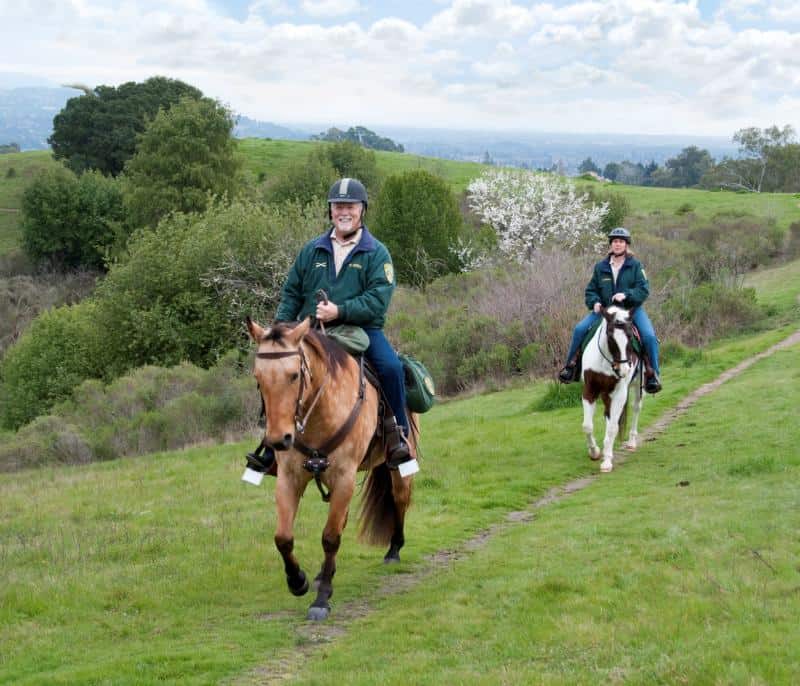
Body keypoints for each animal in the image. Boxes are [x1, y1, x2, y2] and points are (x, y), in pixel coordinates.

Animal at [247, 318, 416, 624]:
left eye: (294, 375)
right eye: (258, 378)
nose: (278, 440)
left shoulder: (344, 478)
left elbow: (330, 538)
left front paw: (322, 599)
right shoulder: (289, 479)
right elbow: (283, 537)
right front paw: (298, 581)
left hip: (397, 465)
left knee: (400, 498)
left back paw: (394, 549)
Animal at [580, 306, 644, 472]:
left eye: (630, 335)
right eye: (610, 336)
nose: (624, 369)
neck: (606, 362)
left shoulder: (620, 393)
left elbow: (612, 428)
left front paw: (607, 461)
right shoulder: (590, 390)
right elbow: (587, 426)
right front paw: (595, 452)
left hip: (638, 386)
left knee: (636, 408)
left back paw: (631, 442)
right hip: (606, 394)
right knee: (608, 416)